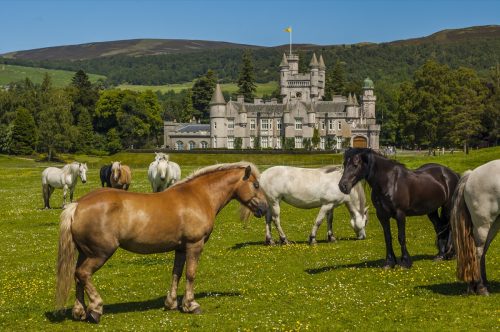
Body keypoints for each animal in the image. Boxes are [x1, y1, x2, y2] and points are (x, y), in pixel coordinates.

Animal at [55, 162, 270, 322]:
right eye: (256, 185)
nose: (265, 208)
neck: (199, 196)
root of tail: (77, 205)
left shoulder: (180, 248)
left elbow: (176, 273)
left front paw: (172, 303)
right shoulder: (194, 245)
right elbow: (190, 274)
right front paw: (191, 305)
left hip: (85, 253)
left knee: (77, 276)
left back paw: (79, 311)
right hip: (100, 253)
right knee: (83, 274)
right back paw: (96, 309)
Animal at [450, 160, 500, 294]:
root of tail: (471, 175)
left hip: (493, 225)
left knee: (483, 251)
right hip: (483, 225)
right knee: (478, 251)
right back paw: (481, 287)